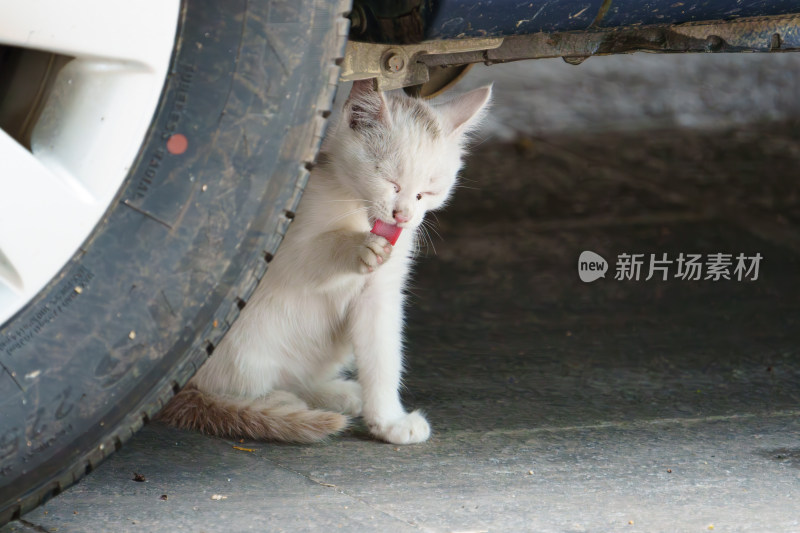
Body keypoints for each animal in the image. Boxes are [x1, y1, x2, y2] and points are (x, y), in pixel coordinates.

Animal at [159, 79, 490, 444]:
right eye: (390, 181)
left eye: (427, 192)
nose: (403, 216)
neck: (356, 206)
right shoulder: (283, 246)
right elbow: (313, 254)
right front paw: (357, 247)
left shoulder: (381, 292)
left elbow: (383, 354)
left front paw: (389, 420)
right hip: (239, 347)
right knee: (228, 386)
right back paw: (271, 403)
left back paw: (335, 394)